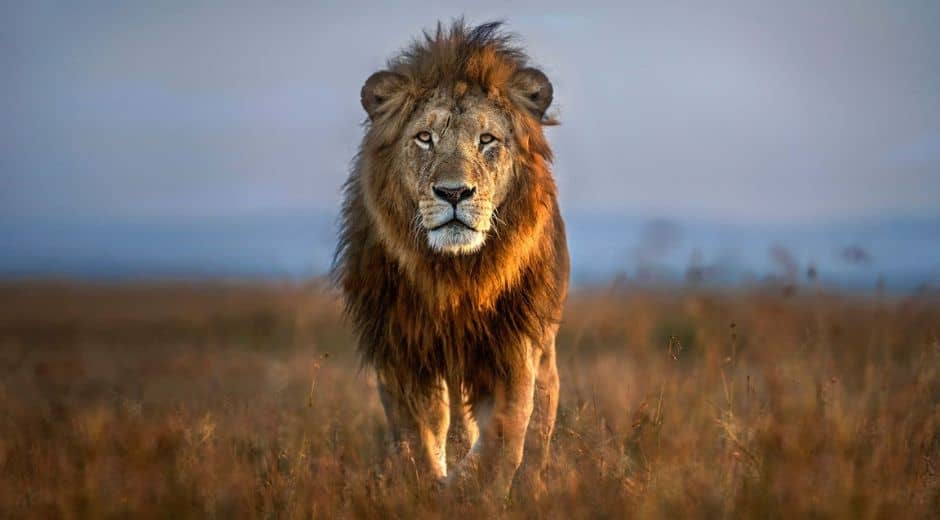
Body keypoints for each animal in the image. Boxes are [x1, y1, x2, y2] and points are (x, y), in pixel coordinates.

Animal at [334, 20, 569, 497]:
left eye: (487, 139)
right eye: (425, 138)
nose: (454, 192)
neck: (456, 274)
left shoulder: (513, 347)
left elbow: (504, 436)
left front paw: (472, 491)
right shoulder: (401, 350)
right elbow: (418, 436)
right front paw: (427, 488)